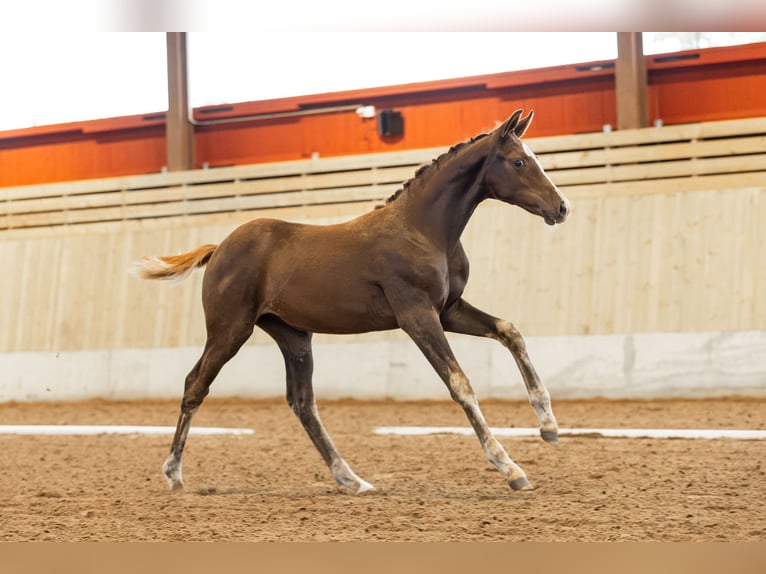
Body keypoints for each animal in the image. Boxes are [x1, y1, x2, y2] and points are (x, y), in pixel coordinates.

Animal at [135, 109, 572, 496]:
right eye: (518, 161)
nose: (561, 208)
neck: (422, 230)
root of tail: (219, 248)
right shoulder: (417, 315)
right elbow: (460, 382)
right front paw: (510, 467)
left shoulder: (449, 310)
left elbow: (510, 331)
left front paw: (548, 426)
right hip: (229, 330)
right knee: (195, 385)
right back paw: (173, 474)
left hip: (294, 337)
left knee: (302, 403)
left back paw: (351, 479)